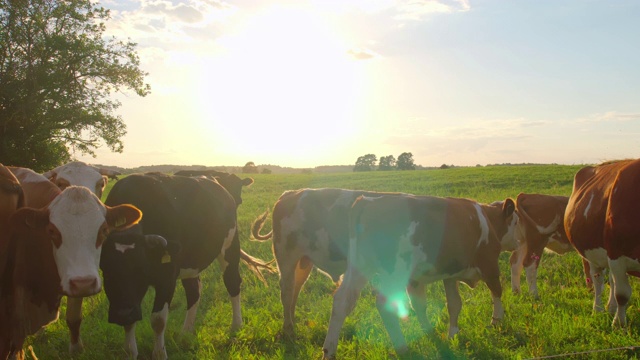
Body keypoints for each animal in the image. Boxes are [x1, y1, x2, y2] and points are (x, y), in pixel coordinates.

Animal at [100, 173, 272, 358]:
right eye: (105, 270)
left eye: (141, 269)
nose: (121, 315)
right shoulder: (126, 298)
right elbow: (130, 323)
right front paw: (130, 352)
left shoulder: (167, 277)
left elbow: (158, 320)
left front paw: (159, 354)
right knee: (194, 291)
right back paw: (186, 332)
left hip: (230, 248)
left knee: (232, 283)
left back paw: (236, 325)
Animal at [322, 193, 516, 358]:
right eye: (516, 220)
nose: (518, 241)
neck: (486, 220)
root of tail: (368, 201)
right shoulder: (490, 265)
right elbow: (497, 292)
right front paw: (497, 321)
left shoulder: (444, 275)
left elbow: (448, 304)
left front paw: (448, 333)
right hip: (395, 272)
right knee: (385, 305)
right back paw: (402, 348)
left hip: (359, 268)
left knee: (342, 301)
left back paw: (329, 350)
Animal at [564, 159, 640, 328]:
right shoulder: (616, 255)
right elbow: (622, 294)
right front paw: (619, 324)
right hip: (593, 255)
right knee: (598, 280)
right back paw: (598, 310)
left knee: (611, 280)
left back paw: (610, 308)